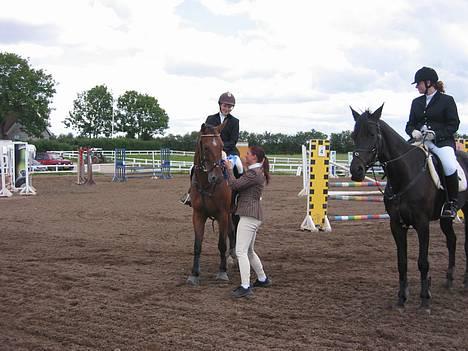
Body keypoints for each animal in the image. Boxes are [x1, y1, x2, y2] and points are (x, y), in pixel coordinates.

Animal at [186, 124, 236, 286]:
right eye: (206, 147)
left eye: (221, 146)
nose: (216, 177)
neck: (206, 184)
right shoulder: (198, 215)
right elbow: (197, 245)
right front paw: (194, 274)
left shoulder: (222, 215)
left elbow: (221, 244)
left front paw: (222, 272)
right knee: (232, 232)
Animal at [350, 104, 466, 314]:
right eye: (354, 135)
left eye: (372, 134)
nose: (356, 171)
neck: (405, 174)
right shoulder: (396, 224)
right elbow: (402, 262)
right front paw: (402, 298)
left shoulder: (422, 224)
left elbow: (422, 262)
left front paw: (425, 300)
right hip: (445, 218)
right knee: (452, 240)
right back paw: (449, 280)